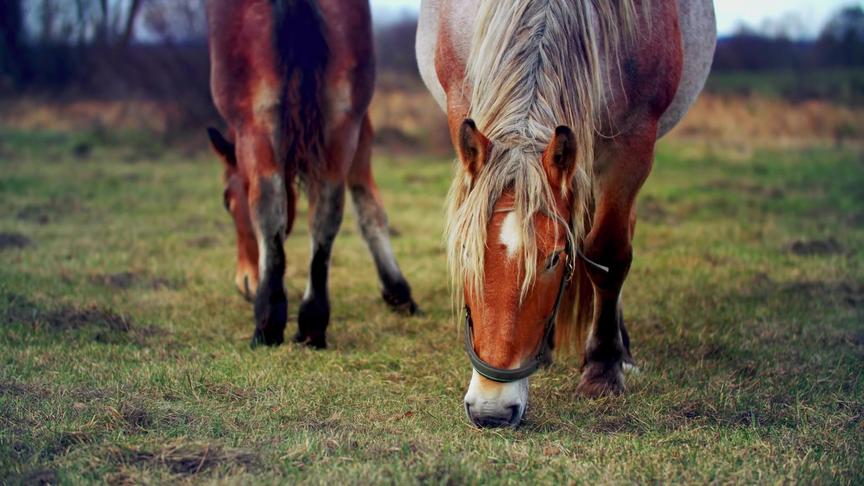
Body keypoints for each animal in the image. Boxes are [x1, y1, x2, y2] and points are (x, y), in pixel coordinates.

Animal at [206, 0, 416, 350]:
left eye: (227, 202)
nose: (245, 283)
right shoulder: (357, 120)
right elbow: (367, 204)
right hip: (341, 118)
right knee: (327, 212)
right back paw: (312, 322)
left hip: (257, 121)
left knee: (269, 205)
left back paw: (268, 323)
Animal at [416, 0, 716, 426]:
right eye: (465, 252)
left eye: (555, 258)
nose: (491, 409)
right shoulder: (463, 107)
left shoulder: (633, 144)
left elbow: (608, 255)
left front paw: (603, 369)